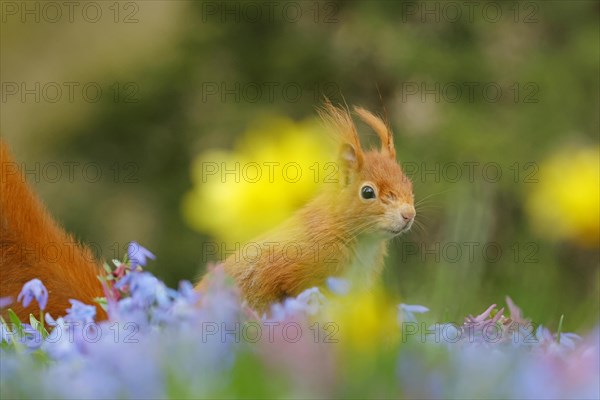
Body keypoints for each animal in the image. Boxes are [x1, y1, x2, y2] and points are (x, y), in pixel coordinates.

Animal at [1, 102, 412, 318]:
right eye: (368, 192)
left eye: (409, 182)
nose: (408, 215)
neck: (353, 235)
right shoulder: (299, 264)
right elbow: (285, 288)